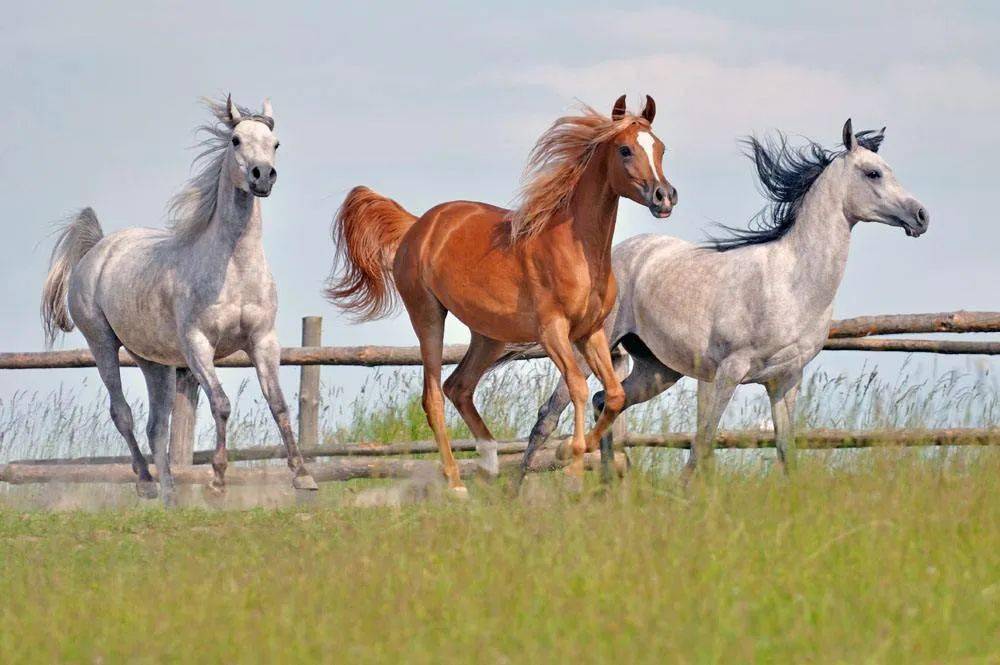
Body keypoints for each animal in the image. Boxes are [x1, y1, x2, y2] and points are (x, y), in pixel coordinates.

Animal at [41, 92, 316, 498]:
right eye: (236, 140)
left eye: (275, 143)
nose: (262, 176)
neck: (232, 268)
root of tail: (98, 249)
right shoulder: (197, 344)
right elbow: (221, 404)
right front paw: (217, 480)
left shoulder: (263, 340)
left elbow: (278, 404)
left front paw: (303, 476)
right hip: (102, 344)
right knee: (122, 413)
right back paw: (146, 483)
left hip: (153, 362)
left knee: (157, 426)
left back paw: (171, 495)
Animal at [328, 97, 680, 492]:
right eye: (624, 149)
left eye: (660, 148)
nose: (664, 197)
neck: (576, 249)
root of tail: (417, 226)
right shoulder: (553, 331)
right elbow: (577, 386)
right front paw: (572, 467)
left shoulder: (591, 332)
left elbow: (615, 395)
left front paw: (569, 452)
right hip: (428, 315)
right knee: (433, 396)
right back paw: (457, 485)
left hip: (489, 336)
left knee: (458, 386)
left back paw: (490, 464)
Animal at [520, 118, 932, 472]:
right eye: (873, 173)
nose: (921, 216)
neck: (791, 282)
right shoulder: (726, 374)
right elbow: (702, 446)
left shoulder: (786, 380)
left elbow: (786, 452)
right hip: (588, 349)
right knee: (548, 416)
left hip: (658, 370)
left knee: (605, 401)